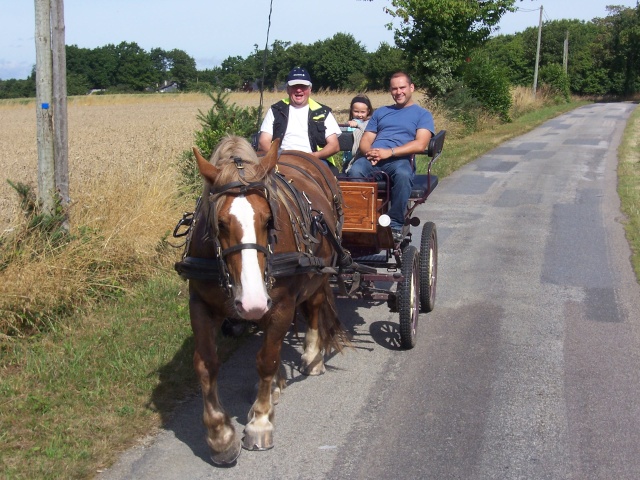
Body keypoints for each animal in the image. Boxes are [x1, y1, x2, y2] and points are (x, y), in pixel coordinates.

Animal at [175, 135, 350, 464]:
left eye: (269, 220)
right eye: (220, 223)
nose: (252, 301)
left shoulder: (280, 304)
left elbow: (266, 359)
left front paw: (260, 422)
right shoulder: (200, 304)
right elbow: (206, 364)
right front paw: (220, 436)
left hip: (319, 273)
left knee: (315, 308)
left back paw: (312, 357)